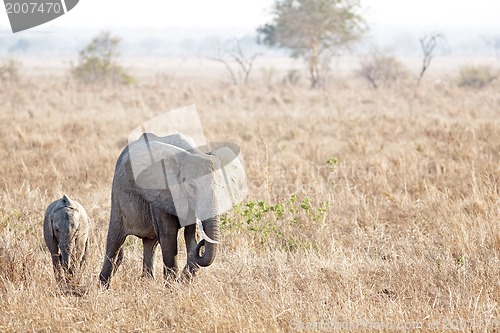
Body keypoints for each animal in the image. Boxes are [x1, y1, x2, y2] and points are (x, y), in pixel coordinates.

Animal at [99, 131, 246, 286]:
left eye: (222, 187)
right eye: (191, 187)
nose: (202, 244)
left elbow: (190, 235)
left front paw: (181, 281)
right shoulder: (162, 192)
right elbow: (168, 236)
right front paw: (172, 287)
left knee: (150, 243)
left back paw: (147, 283)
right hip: (117, 197)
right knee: (115, 241)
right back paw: (104, 286)